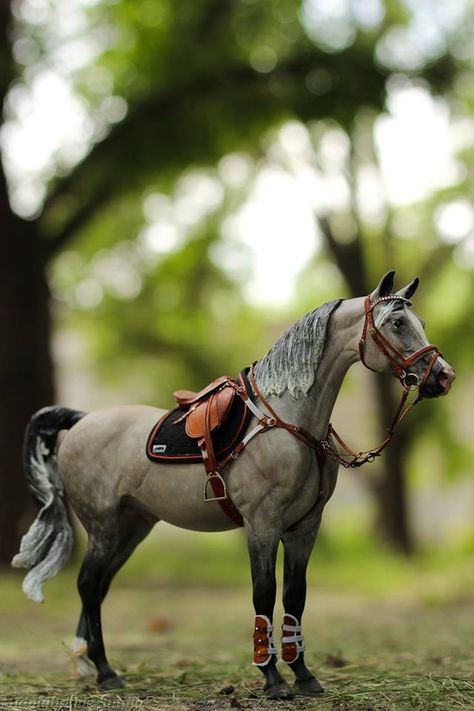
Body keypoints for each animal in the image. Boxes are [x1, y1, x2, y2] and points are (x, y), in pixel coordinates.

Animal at [12, 272, 456, 700]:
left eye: (420, 321)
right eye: (397, 323)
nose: (444, 376)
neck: (289, 421)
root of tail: (80, 422)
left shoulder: (305, 527)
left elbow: (295, 596)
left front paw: (303, 675)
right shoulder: (262, 523)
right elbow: (264, 592)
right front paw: (272, 679)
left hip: (132, 527)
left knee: (99, 588)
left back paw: (87, 666)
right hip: (102, 526)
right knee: (88, 586)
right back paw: (105, 673)